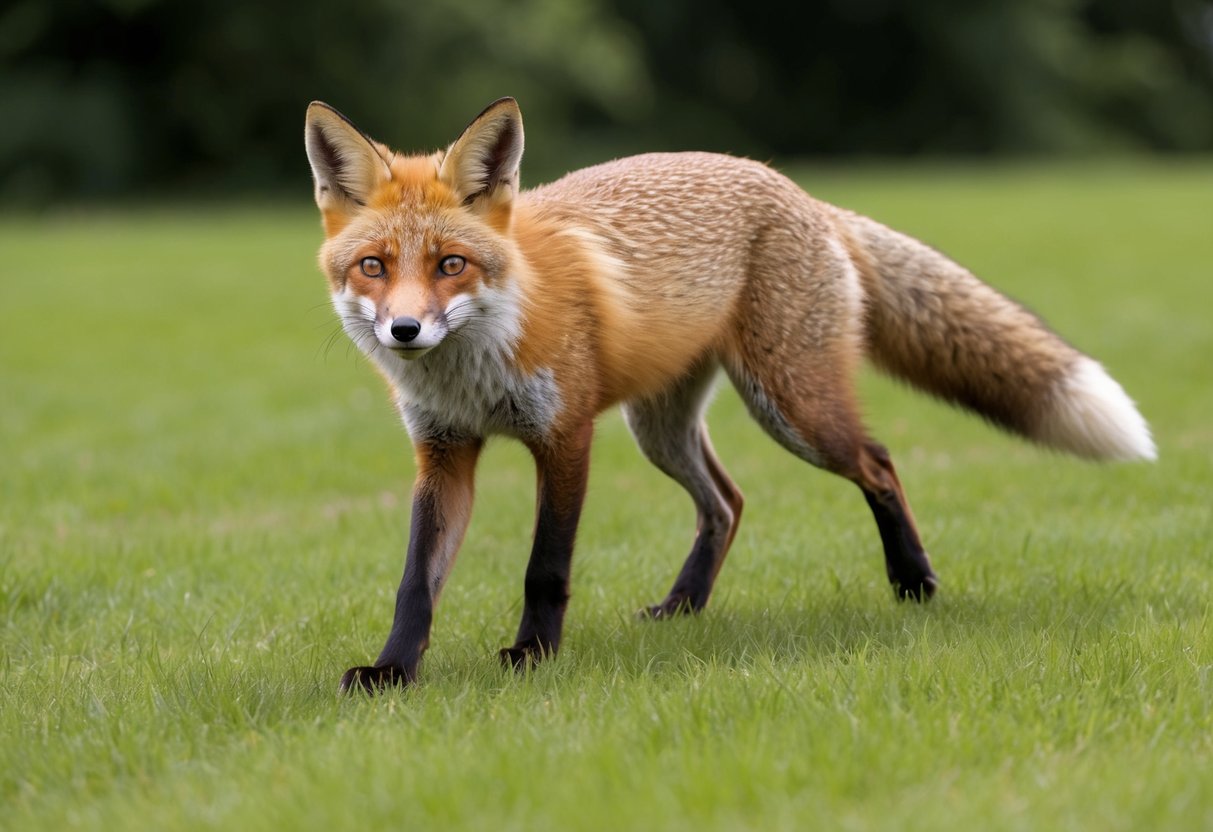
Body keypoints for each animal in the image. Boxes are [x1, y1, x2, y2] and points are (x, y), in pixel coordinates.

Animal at [303, 97, 1155, 693]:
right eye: (374, 267)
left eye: (450, 264)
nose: (404, 331)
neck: (476, 363)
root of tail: (799, 191)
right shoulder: (444, 451)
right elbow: (416, 582)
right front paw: (392, 672)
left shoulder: (565, 435)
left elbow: (544, 567)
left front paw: (533, 654)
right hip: (660, 427)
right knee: (727, 500)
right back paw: (684, 606)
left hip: (792, 409)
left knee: (877, 461)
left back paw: (912, 581)